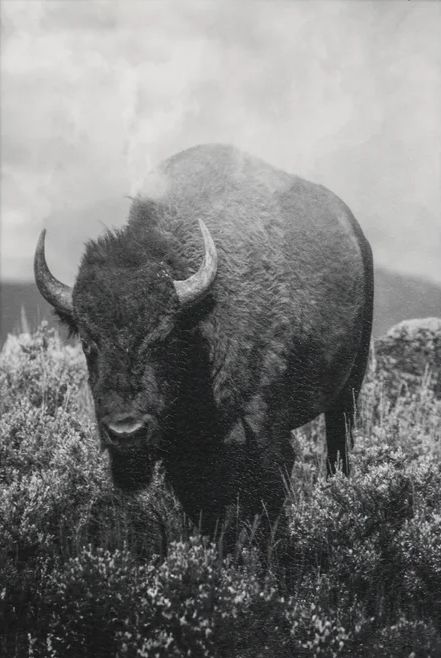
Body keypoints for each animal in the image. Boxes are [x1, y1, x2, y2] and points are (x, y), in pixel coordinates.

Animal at [34, 144, 373, 536]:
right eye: (88, 343)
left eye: (164, 337)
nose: (125, 431)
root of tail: (356, 233)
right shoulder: (184, 455)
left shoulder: (265, 434)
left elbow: (265, 504)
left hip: (349, 390)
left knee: (339, 447)